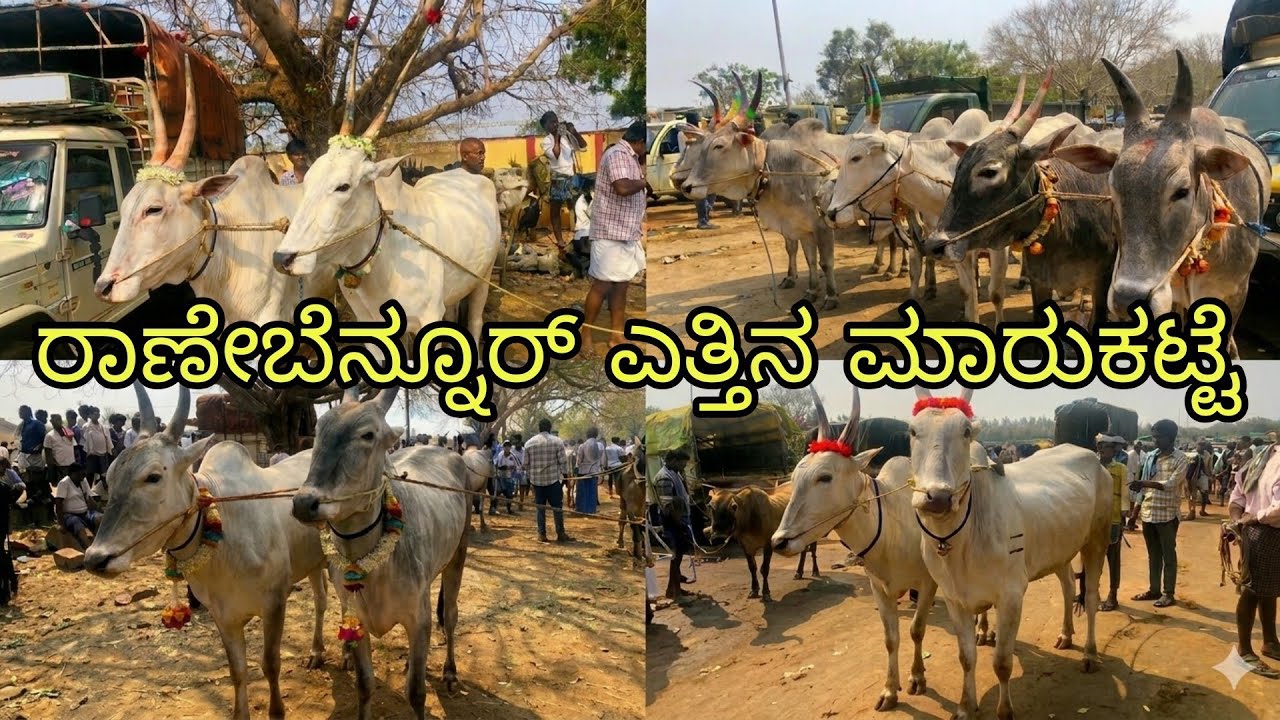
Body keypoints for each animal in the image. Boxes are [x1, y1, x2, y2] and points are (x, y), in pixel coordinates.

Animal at [84, 384, 328, 720]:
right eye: (109, 476)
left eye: (153, 477)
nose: (96, 558)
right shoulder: (223, 616)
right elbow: (237, 671)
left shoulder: (275, 603)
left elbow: (270, 664)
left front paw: (276, 711)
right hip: (312, 562)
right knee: (320, 599)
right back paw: (317, 651)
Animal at [271, 42, 501, 343]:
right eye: (307, 182)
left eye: (343, 186)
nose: (282, 258)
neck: (384, 259)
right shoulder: (369, 321)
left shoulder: (429, 316)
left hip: (484, 275)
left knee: (474, 321)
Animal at [290, 387, 469, 720]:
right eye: (319, 431)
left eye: (368, 434)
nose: (304, 503)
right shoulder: (356, 618)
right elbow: (364, 685)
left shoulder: (418, 618)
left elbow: (416, 692)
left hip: (458, 555)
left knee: (451, 615)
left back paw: (450, 672)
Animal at [909, 387, 1111, 720]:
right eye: (913, 431)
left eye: (966, 431)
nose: (936, 497)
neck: (959, 541)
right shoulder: (954, 599)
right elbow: (966, 657)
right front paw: (965, 706)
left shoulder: (1012, 595)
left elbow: (1002, 663)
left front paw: (1004, 711)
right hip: (1060, 547)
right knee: (1069, 586)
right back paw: (1066, 635)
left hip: (1097, 538)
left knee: (1092, 596)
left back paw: (1090, 655)